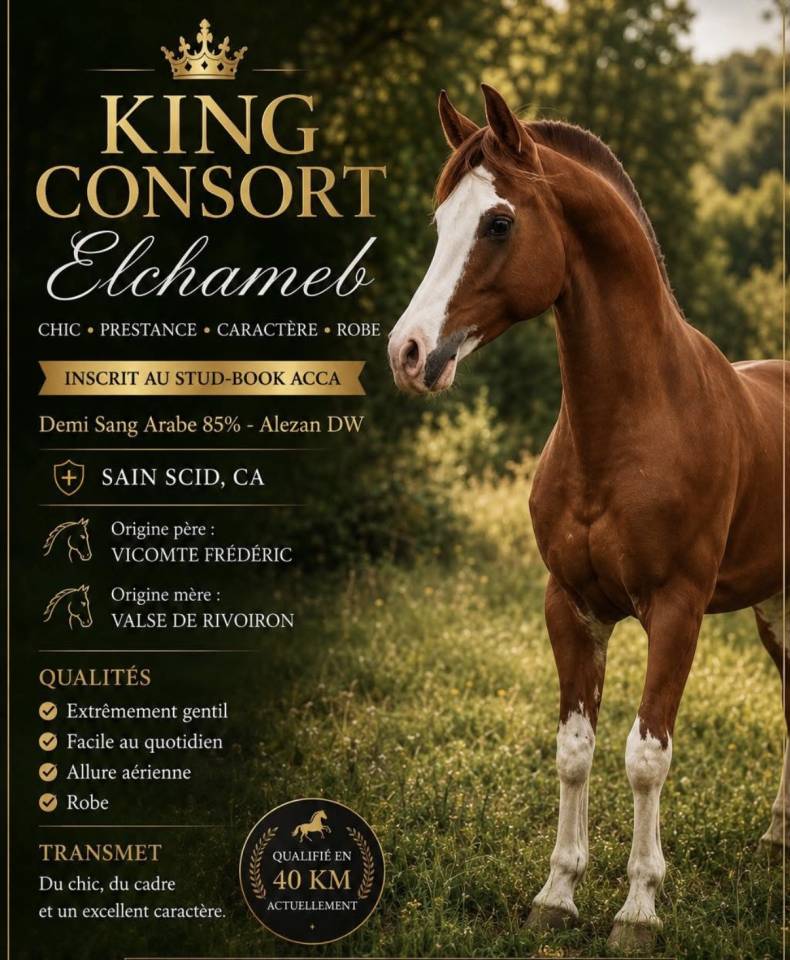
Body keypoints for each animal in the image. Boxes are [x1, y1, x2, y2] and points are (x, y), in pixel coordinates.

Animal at [388, 83, 787, 951]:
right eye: (439, 223)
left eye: (499, 223)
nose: (408, 352)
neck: (633, 422)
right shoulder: (570, 606)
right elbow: (575, 749)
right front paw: (558, 894)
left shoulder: (676, 610)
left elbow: (646, 755)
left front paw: (638, 909)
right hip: (776, 605)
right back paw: (779, 834)